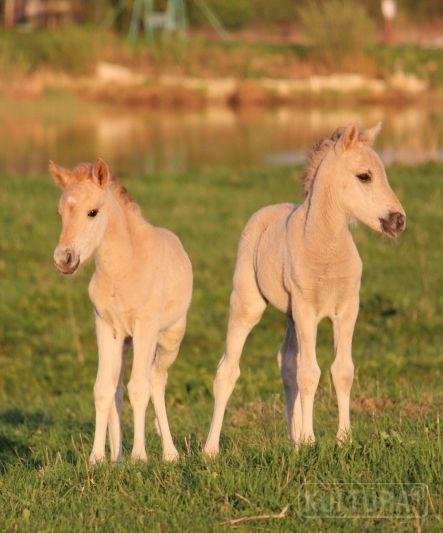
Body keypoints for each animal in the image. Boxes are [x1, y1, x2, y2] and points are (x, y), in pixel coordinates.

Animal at [50, 159, 193, 462]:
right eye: (60, 213)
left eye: (93, 212)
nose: (64, 259)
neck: (123, 268)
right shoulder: (106, 327)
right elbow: (103, 389)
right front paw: (98, 459)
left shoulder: (145, 327)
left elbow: (139, 388)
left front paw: (139, 457)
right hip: (126, 342)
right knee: (118, 388)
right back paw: (117, 458)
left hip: (168, 339)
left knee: (156, 381)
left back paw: (170, 453)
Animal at [205, 122, 406, 456]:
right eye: (364, 176)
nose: (398, 220)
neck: (324, 247)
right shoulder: (306, 310)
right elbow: (310, 373)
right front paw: (311, 440)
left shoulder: (346, 310)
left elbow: (341, 370)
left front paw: (342, 439)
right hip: (249, 305)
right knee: (228, 370)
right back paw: (210, 449)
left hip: (290, 316)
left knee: (287, 365)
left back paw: (294, 438)